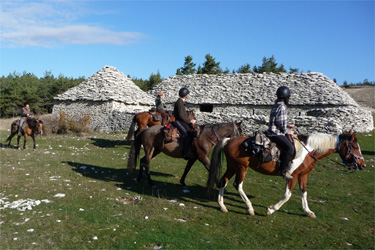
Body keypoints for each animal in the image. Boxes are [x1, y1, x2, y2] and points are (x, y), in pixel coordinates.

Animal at [207, 130, 366, 218]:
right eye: (355, 147)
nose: (362, 165)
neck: (309, 151)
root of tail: (229, 139)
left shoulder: (303, 175)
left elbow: (304, 193)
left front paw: (308, 211)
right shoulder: (292, 176)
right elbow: (288, 195)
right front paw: (271, 210)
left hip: (232, 166)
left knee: (223, 181)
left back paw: (222, 206)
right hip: (241, 167)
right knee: (237, 185)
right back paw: (250, 208)